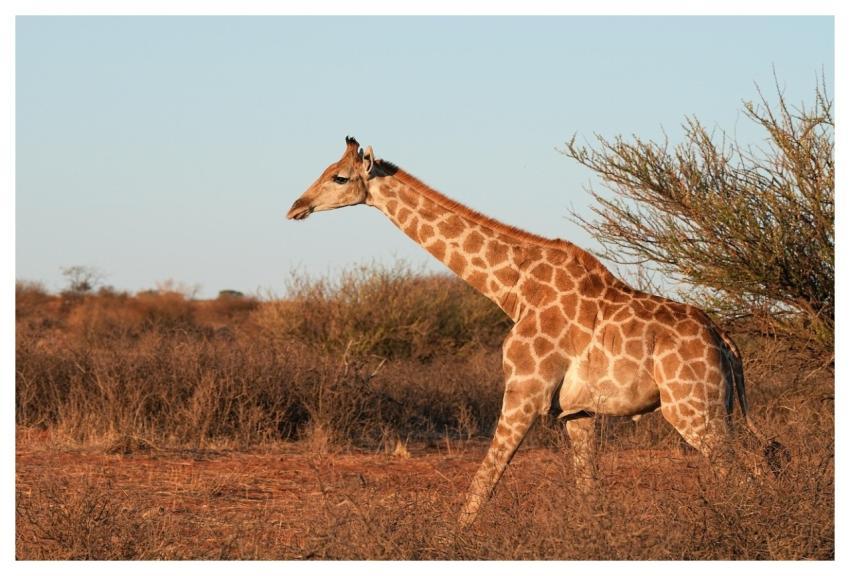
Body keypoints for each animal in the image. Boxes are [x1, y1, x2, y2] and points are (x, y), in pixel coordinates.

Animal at [286, 137, 786, 529]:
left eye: (339, 178)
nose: (296, 207)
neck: (513, 288)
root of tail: (726, 340)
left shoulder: (525, 390)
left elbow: (484, 481)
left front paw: (451, 542)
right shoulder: (578, 412)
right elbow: (588, 494)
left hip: (693, 408)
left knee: (748, 472)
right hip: (715, 407)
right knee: (764, 461)